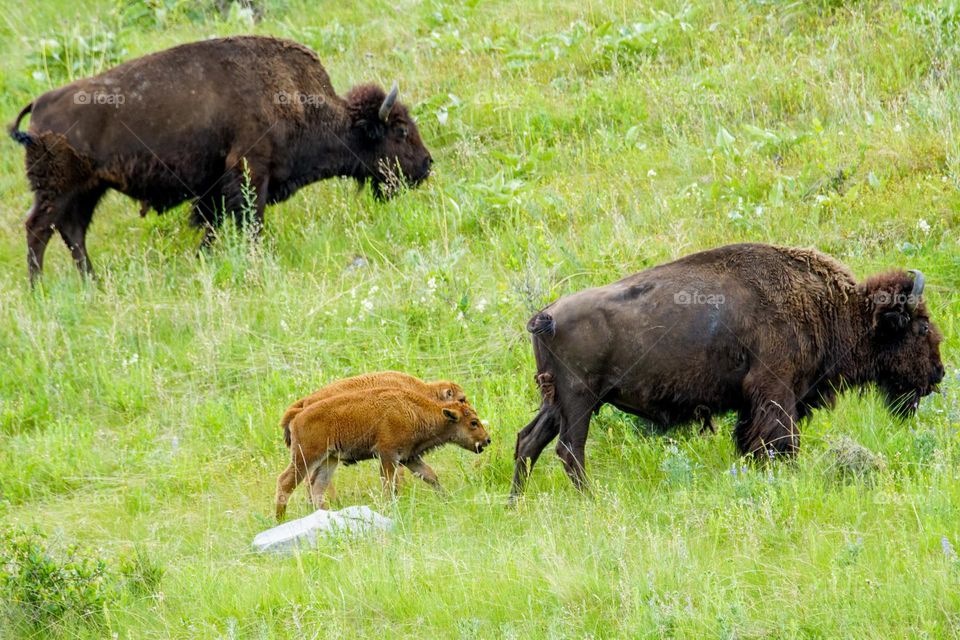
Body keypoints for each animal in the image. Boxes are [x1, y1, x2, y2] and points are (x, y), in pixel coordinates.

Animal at [8, 35, 433, 284]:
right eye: (399, 131)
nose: (426, 165)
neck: (295, 98)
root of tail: (39, 104)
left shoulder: (214, 187)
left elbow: (212, 225)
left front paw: (202, 260)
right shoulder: (249, 172)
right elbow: (249, 221)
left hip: (88, 190)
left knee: (72, 232)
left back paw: (92, 283)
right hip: (59, 189)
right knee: (38, 230)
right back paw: (39, 289)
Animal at [275, 387, 490, 520]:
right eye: (473, 423)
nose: (487, 440)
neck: (413, 410)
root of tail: (297, 417)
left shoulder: (409, 457)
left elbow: (430, 475)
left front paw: (447, 499)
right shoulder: (388, 455)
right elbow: (389, 485)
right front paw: (390, 507)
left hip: (329, 460)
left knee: (317, 487)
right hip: (306, 457)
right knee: (286, 482)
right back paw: (280, 519)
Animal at [510, 243, 945, 500]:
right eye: (921, 326)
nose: (938, 374)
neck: (828, 308)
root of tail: (546, 315)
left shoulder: (753, 404)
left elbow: (751, 441)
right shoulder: (776, 391)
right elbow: (781, 441)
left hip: (557, 402)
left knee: (528, 441)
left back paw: (516, 503)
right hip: (579, 401)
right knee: (570, 449)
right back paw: (590, 501)